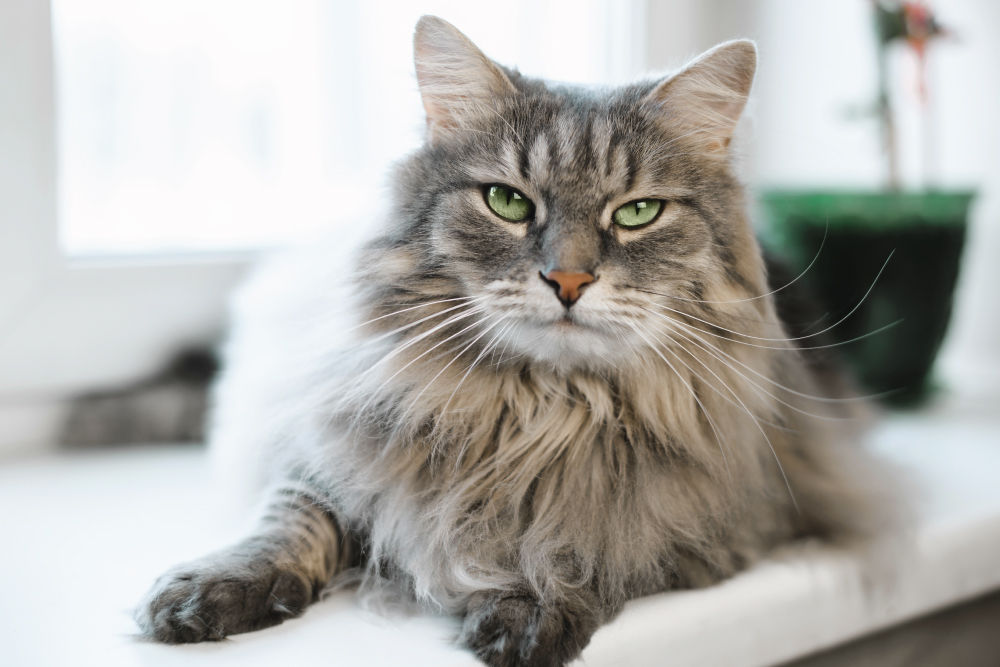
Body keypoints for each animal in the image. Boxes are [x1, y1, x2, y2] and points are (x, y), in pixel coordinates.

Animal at [135, 15, 900, 667]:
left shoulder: (735, 519)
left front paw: (531, 601)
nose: (568, 279)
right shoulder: (328, 449)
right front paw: (212, 589)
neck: (538, 412)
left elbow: (588, 540)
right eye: (508, 202)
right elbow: (289, 523)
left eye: (638, 212)